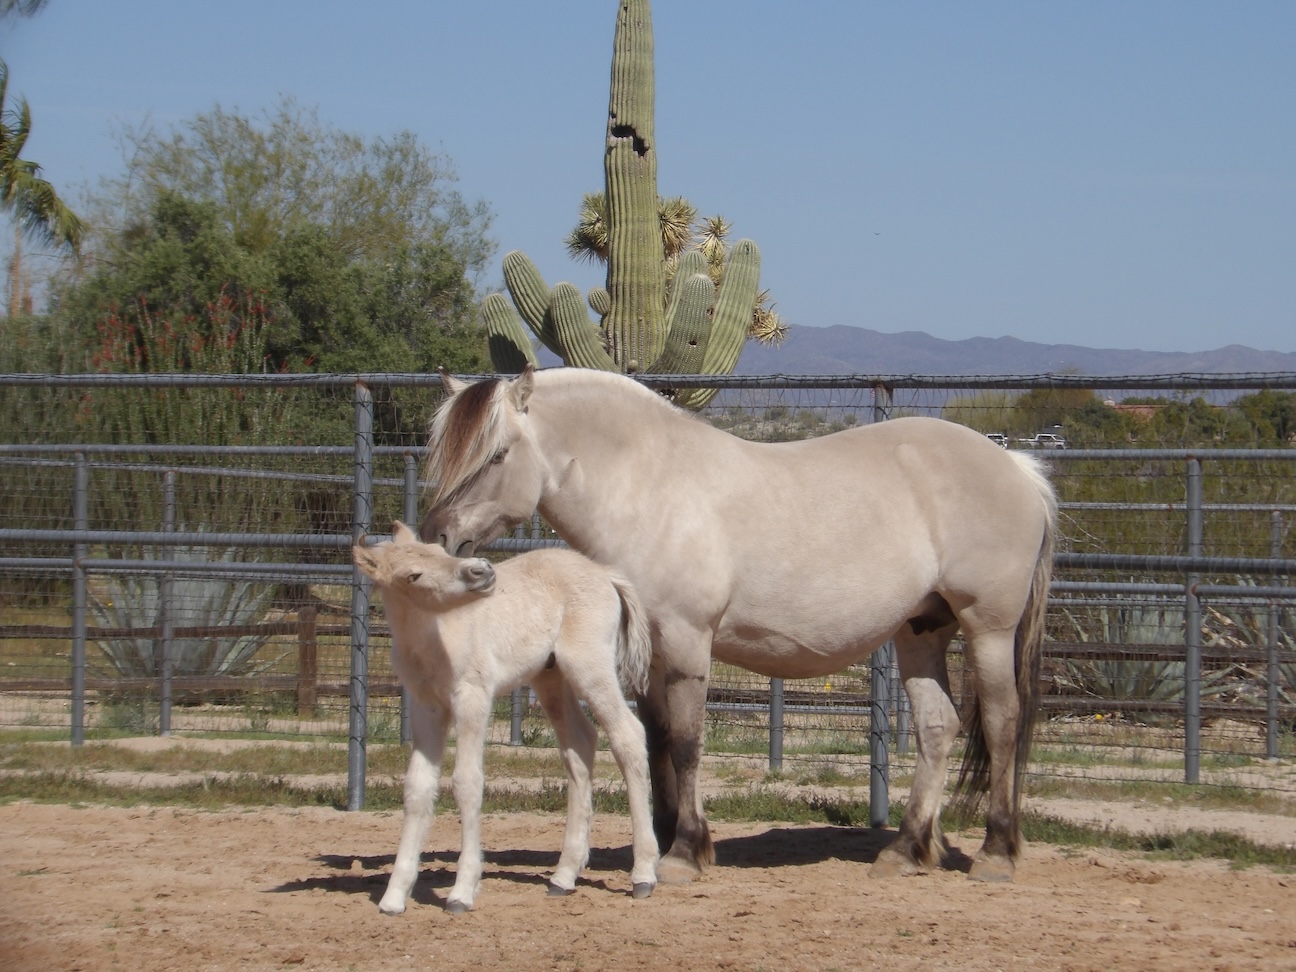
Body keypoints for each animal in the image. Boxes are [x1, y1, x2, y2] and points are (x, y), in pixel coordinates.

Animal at [353, 521, 658, 913]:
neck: (435, 639)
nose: (481, 571)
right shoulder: (426, 708)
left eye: (440, 552)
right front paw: (393, 896)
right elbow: (418, 788)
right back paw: (564, 876)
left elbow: (467, 782)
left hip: (589, 666)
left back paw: (643, 874)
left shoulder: (473, 697)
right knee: (580, 742)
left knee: (627, 735)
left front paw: (462, 892)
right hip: (550, 677)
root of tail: (605, 575)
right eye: (413, 574)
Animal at [419, 366, 1058, 885]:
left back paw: (995, 853)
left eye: (497, 454)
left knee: (1001, 723)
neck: (650, 489)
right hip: (921, 630)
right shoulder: (651, 654)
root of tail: (1017, 466)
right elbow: (656, 741)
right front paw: (664, 839)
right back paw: (904, 850)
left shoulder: (688, 642)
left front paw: (684, 852)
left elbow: (686, 743)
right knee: (936, 726)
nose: (441, 539)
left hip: (987, 629)